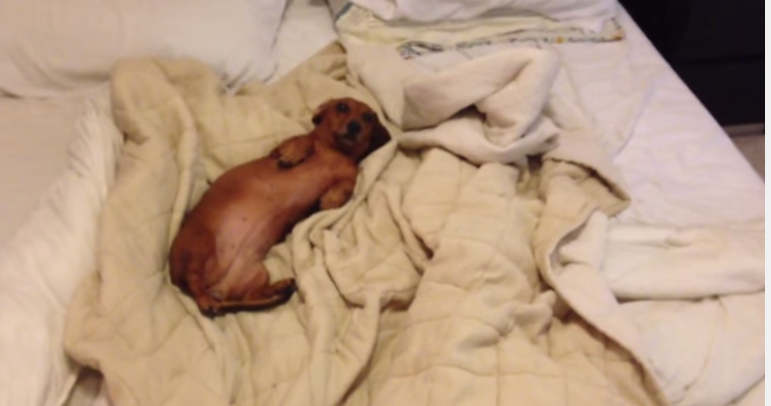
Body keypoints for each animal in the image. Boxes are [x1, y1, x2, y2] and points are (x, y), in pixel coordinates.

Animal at [167, 96, 390, 316]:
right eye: (342, 106)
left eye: (368, 117)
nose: (355, 126)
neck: (337, 152)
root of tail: (216, 288)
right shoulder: (278, 150)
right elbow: (305, 140)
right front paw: (295, 153)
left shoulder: (350, 174)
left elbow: (348, 184)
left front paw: (332, 199)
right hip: (199, 243)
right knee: (194, 281)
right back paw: (206, 300)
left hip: (256, 274)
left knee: (250, 296)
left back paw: (278, 289)